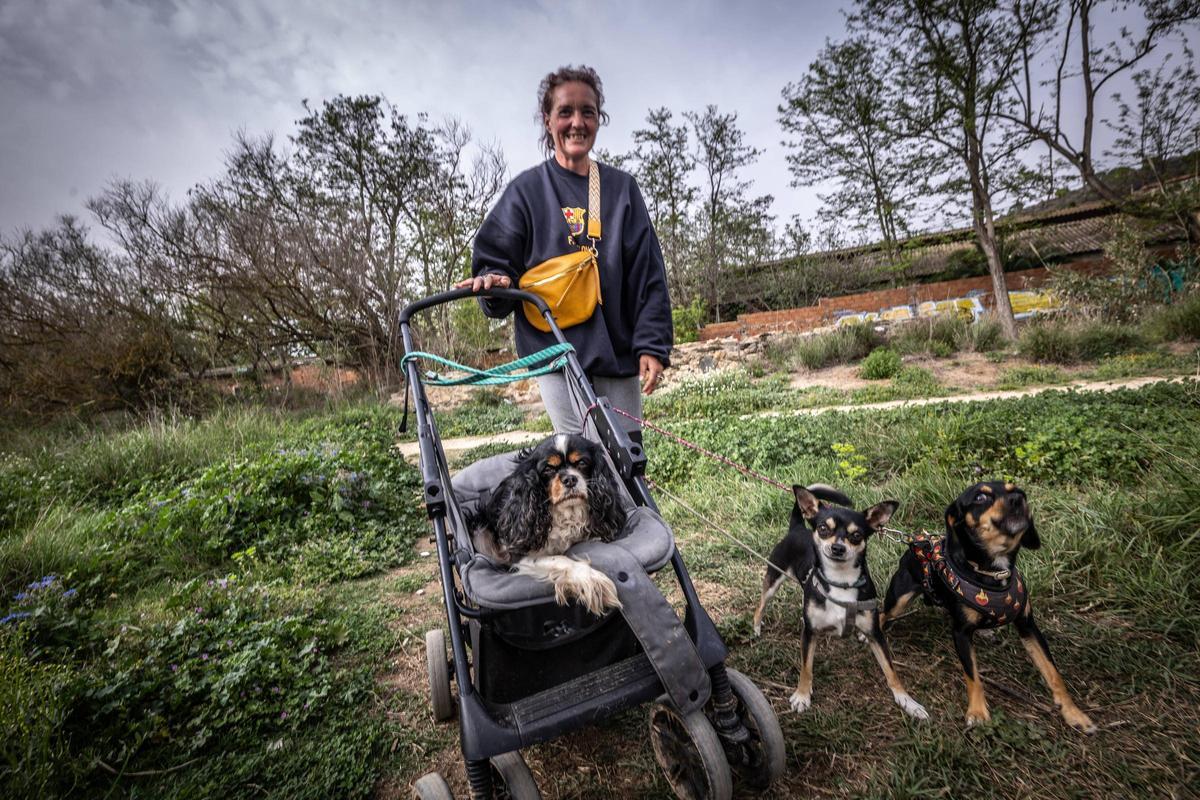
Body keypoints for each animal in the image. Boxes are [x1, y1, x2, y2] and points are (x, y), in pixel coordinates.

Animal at [468, 434, 628, 618]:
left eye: (582, 462)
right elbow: (560, 559)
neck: (566, 513)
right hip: (480, 533)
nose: (570, 479)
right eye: (548, 469)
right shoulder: (520, 555)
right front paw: (592, 579)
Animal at [883, 479, 1099, 734]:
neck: (994, 572)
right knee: (882, 615)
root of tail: (917, 543)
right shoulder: (961, 633)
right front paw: (977, 712)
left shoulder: (1028, 626)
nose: (1018, 500)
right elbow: (973, 676)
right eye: (980, 498)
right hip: (899, 599)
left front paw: (1074, 713)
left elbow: (1054, 673)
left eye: (1018, 491)